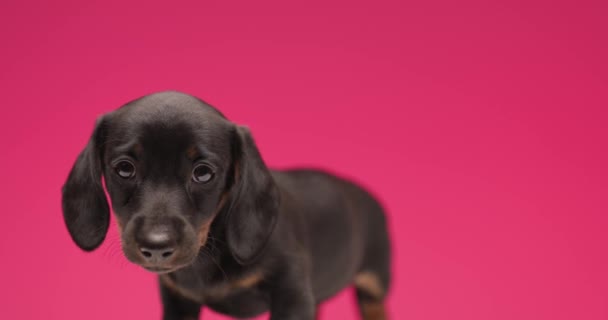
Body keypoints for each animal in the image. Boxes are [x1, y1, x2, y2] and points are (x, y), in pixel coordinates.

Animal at [61, 90, 392, 320]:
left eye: (203, 173)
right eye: (124, 168)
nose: (156, 246)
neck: (209, 251)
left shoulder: (292, 294)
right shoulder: (179, 302)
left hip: (375, 282)